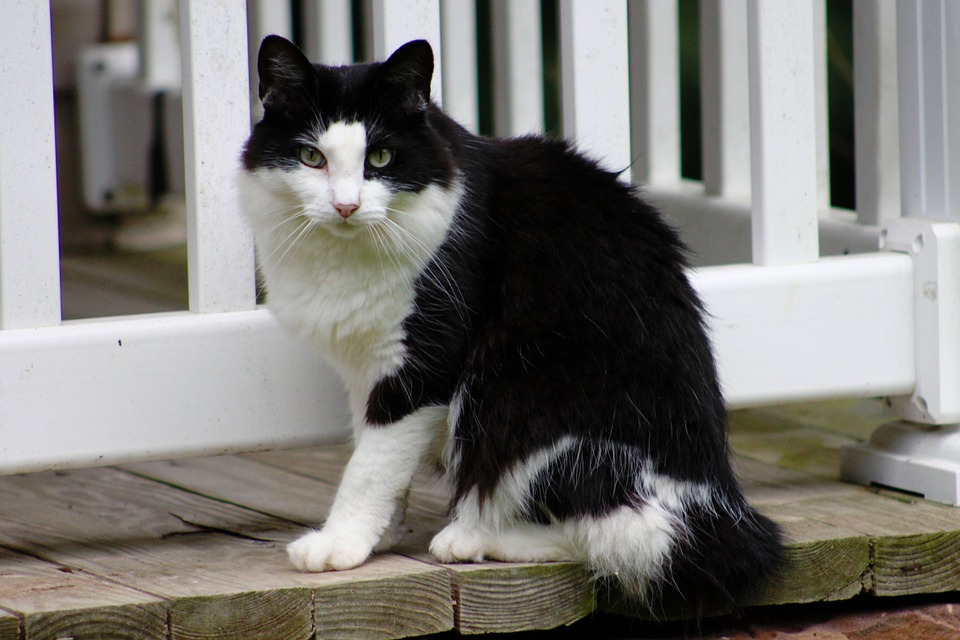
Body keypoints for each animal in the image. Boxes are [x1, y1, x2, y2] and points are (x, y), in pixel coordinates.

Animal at [238, 33, 780, 608]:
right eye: (311, 157)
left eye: (380, 157)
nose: (346, 206)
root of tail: (721, 505)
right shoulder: (370, 368)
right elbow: (377, 454)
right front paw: (380, 535)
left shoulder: (423, 363)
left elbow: (370, 465)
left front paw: (341, 544)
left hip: (526, 406)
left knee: (614, 537)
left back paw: (471, 536)